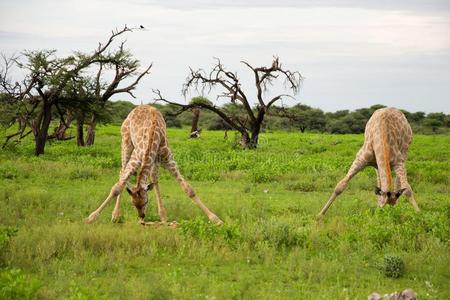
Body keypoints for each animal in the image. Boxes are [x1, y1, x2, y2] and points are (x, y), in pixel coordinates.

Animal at [86, 105, 223, 225]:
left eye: (146, 202)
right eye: (133, 204)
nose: (141, 216)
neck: (152, 137)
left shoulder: (168, 158)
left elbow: (188, 189)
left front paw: (216, 219)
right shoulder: (137, 156)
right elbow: (117, 187)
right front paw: (92, 217)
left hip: (154, 160)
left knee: (153, 179)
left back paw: (161, 215)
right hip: (126, 143)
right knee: (122, 172)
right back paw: (116, 215)